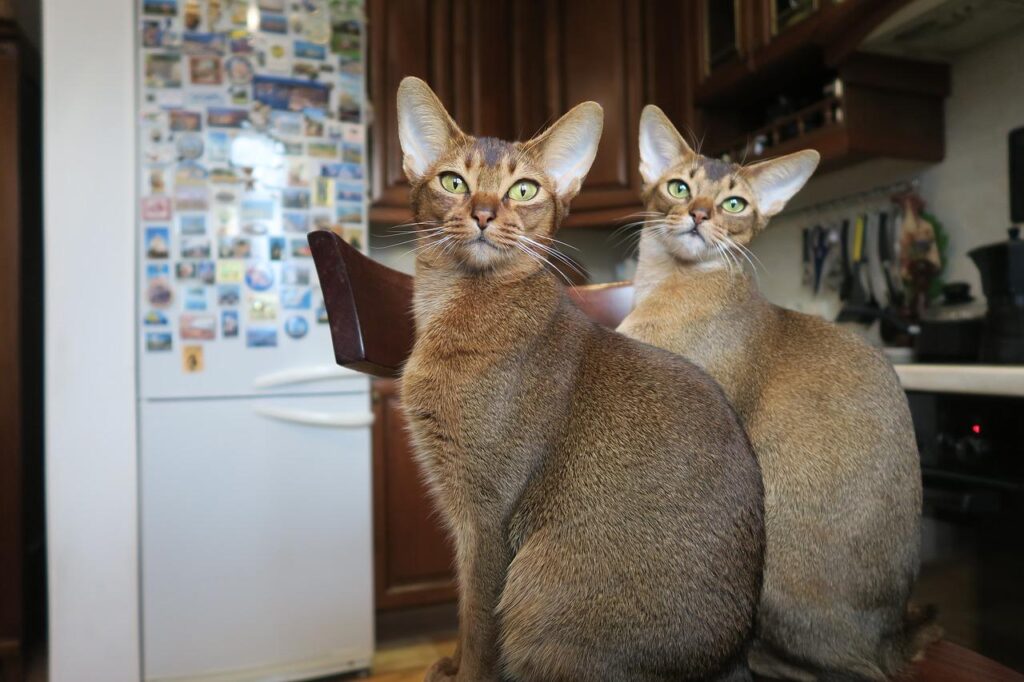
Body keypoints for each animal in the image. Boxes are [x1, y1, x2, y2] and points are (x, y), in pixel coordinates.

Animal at [395, 76, 765, 675]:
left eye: (523, 190)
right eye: (453, 182)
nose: (483, 212)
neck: (455, 306)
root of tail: (730, 659)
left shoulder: (486, 514)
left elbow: (477, 619)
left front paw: (463, 673)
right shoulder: (459, 510)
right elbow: (463, 611)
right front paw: (446, 665)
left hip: (537, 587)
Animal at [614, 103, 942, 675]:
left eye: (734, 203)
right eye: (679, 187)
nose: (700, 214)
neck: (666, 284)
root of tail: (891, 633)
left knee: (844, 669)